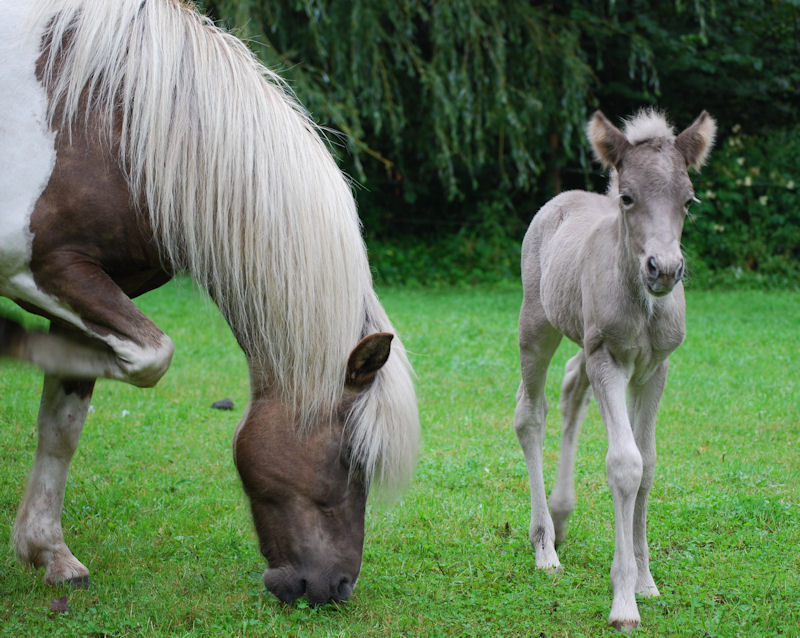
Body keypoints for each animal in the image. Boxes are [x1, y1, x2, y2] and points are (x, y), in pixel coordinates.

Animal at [0, 0, 422, 608]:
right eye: (353, 457)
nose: (336, 586)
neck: (108, 122)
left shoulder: (83, 289)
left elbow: (62, 426)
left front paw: (47, 552)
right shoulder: (37, 269)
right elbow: (152, 357)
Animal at [516, 109, 716, 632]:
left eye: (689, 200)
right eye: (627, 197)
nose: (663, 269)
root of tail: (562, 198)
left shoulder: (655, 369)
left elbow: (648, 464)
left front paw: (646, 581)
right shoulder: (608, 358)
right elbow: (625, 464)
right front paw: (624, 602)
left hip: (582, 342)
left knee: (571, 388)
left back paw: (562, 516)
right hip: (537, 325)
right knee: (530, 414)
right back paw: (545, 546)